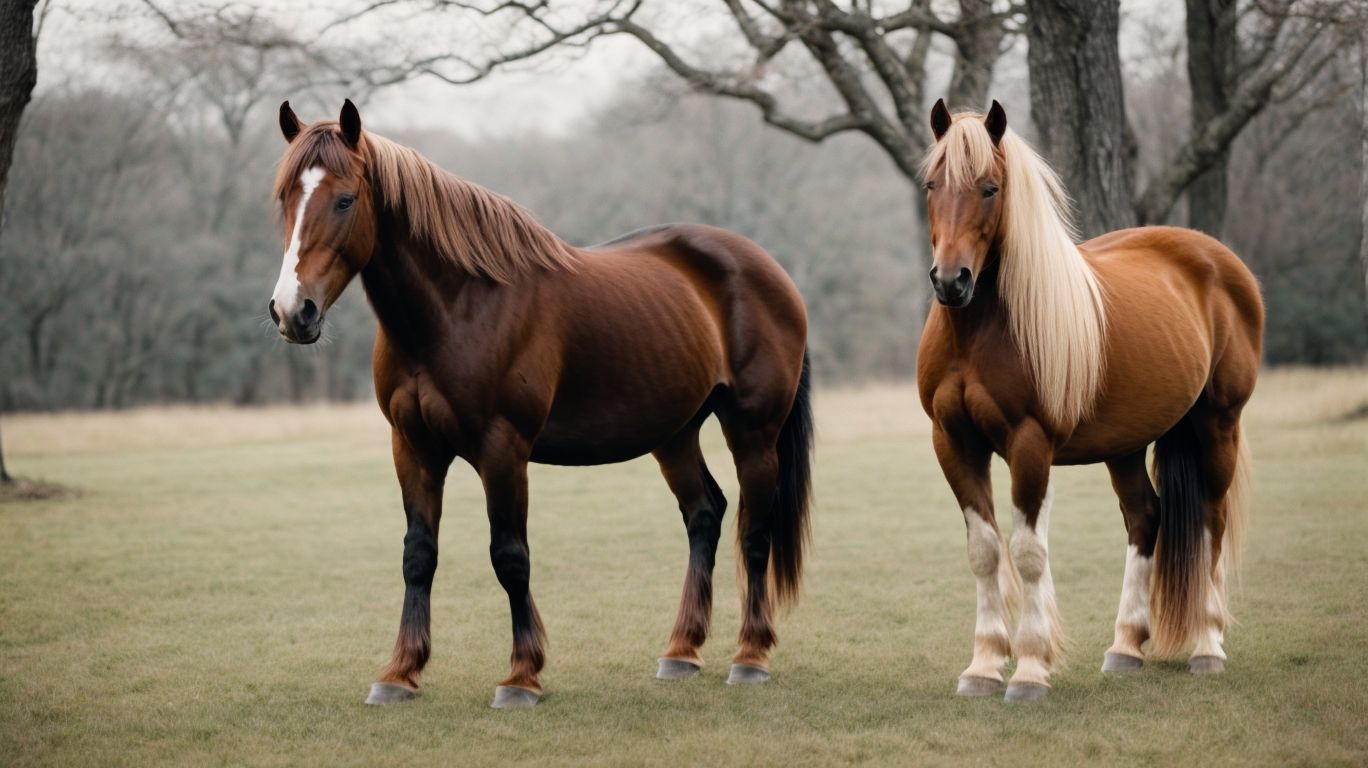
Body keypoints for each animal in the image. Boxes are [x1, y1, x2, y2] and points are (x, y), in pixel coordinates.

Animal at [266, 100, 813, 709]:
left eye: (344, 200)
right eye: (285, 197)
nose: (292, 311)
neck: (458, 308)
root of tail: (769, 270)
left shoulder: (503, 449)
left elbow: (510, 556)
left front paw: (522, 676)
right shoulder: (412, 448)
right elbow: (418, 554)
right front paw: (400, 672)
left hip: (754, 433)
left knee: (754, 532)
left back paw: (750, 656)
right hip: (675, 435)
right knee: (705, 515)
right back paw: (681, 651)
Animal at [916, 99, 1263, 702]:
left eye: (990, 188)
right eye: (933, 184)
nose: (951, 281)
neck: (978, 333)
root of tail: (1219, 260)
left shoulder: (1029, 445)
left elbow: (1028, 553)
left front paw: (1030, 670)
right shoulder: (954, 442)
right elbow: (985, 551)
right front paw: (983, 666)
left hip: (1219, 425)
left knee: (1210, 522)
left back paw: (1207, 645)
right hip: (1125, 446)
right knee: (1145, 518)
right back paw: (1125, 646)